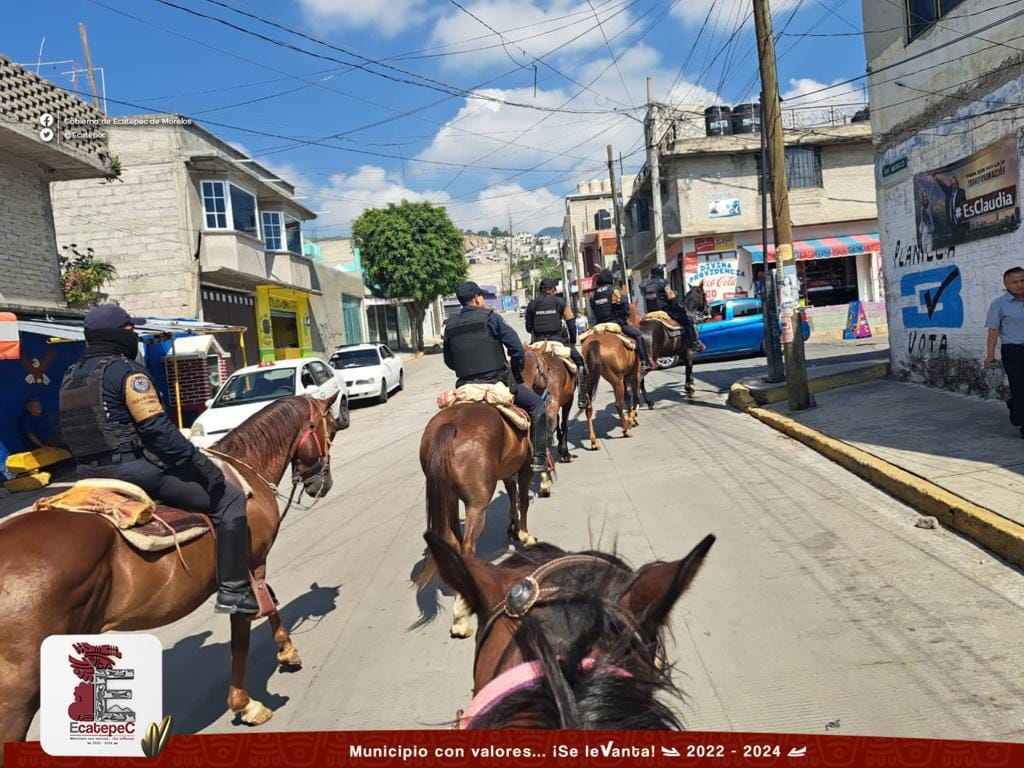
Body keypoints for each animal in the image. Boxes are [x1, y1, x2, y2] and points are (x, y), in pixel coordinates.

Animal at [0, 393, 339, 749]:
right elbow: (248, 628)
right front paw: (247, 702)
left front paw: (286, 652)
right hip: (18, 698)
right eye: (330, 428)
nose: (322, 483)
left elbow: (269, 604)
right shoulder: (251, 566)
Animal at [413, 403, 532, 638]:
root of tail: (451, 425)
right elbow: (522, 499)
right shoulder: (526, 466)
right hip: (477, 505)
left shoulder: (507, 470)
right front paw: (524, 535)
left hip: (448, 496)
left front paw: (513, 529)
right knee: (467, 545)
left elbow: (512, 492)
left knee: (453, 541)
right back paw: (462, 616)